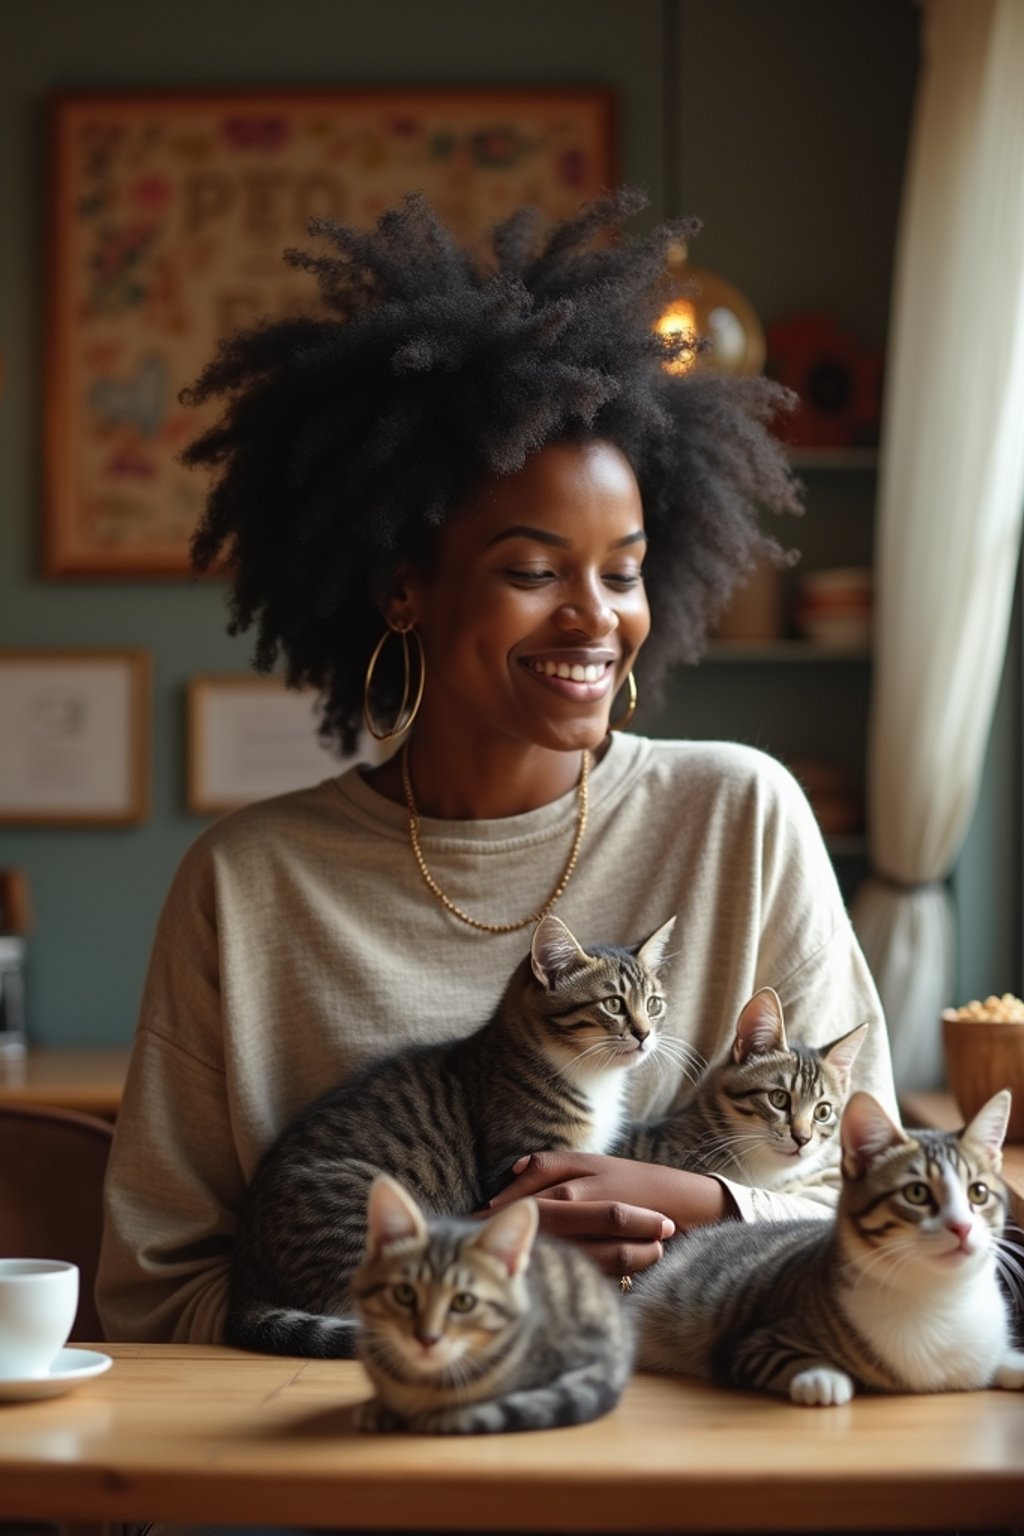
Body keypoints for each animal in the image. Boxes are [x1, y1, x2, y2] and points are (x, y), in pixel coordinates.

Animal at [225, 909, 672, 1357]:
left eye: (653, 1004)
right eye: (613, 1004)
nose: (645, 1034)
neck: (590, 1077)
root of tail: (246, 1269)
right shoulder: (519, 1164)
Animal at [632, 1081, 1024, 1406]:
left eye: (978, 1193)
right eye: (916, 1193)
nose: (962, 1227)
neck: (940, 1295)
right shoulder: (749, 1344)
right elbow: (785, 1358)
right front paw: (822, 1377)